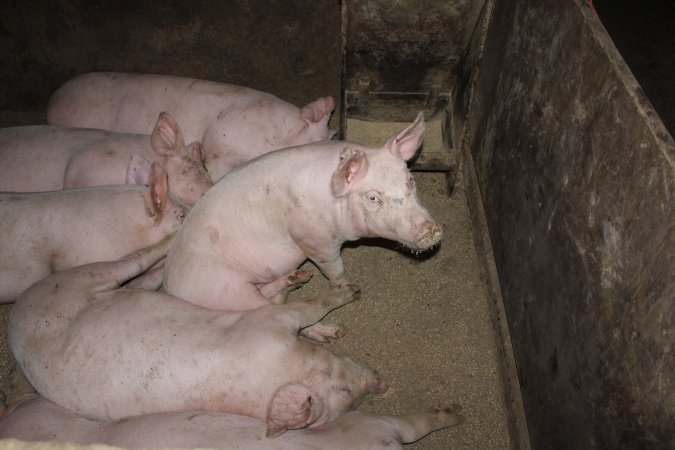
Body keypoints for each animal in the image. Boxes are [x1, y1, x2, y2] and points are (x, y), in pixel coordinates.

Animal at [6, 234, 386, 430]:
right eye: (342, 391)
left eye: (351, 407)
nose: (381, 383)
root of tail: (14, 319)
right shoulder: (266, 327)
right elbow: (308, 308)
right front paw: (350, 294)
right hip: (78, 279)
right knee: (134, 259)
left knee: (143, 282)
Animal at [163, 110, 444, 312]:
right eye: (373, 197)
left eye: (410, 180)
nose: (432, 229)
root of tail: (169, 286)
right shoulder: (315, 241)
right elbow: (335, 269)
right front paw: (353, 288)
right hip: (226, 291)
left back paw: (297, 278)